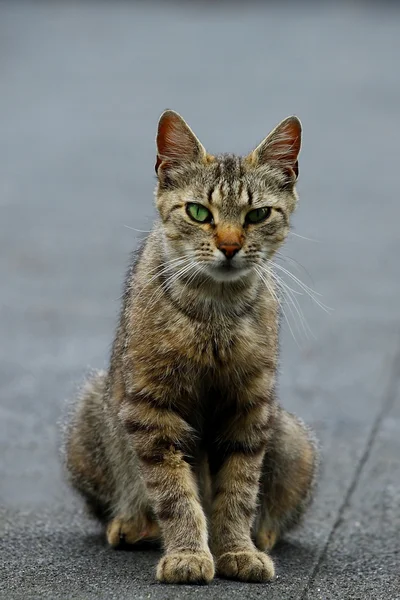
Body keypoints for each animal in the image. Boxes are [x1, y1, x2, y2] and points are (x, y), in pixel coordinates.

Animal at [65, 110, 318, 584]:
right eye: (199, 212)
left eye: (258, 214)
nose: (230, 246)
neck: (215, 312)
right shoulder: (152, 407)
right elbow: (174, 491)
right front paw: (187, 553)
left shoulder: (249, 407)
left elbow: (238, 489)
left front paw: (237, 548)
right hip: (88, 420)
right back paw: (134, 524)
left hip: (295, 442)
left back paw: (263, 534)